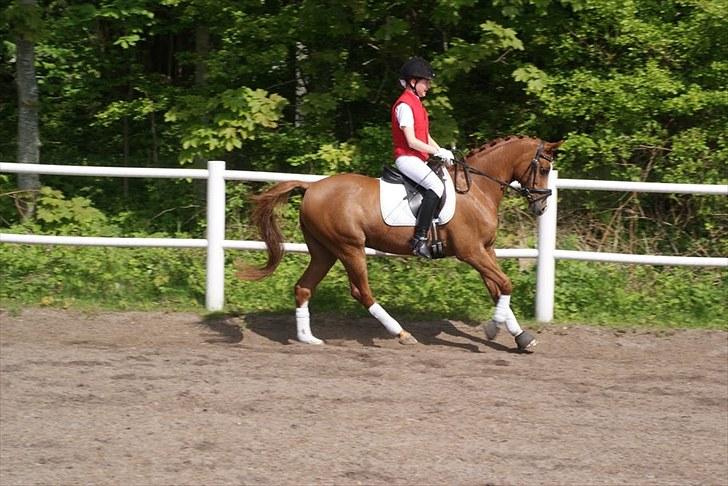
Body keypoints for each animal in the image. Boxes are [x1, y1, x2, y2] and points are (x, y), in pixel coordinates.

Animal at [237, 135, 562, 351]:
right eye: (545, 169)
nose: (541, 207)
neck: (476, 189)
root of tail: (312, 186)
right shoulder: (470, 252)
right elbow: (506, 284)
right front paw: (494, 328)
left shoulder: (486, 250)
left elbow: (497, 290)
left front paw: (520, 337)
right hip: (349, 248)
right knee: (362, 292)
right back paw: (401, 334)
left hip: (324, 251)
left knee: (304, 287)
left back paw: (308, 338)